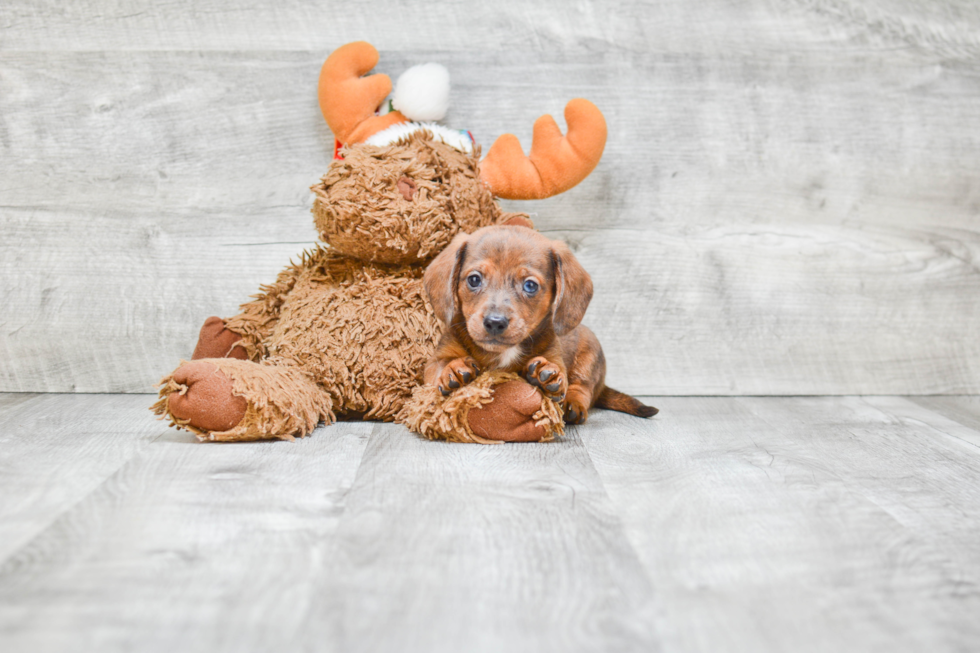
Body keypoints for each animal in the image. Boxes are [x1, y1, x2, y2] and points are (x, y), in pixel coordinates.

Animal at [424, 224, 660, 422]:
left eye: (530, 285)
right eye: (474, 279)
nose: (495, 323)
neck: (502, 354)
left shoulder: (554, 356)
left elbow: (560, 375)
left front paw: (546, 375)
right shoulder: (434, 361)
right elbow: (440, 366)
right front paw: (453, 369)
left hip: (590, 355)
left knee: (583, 388)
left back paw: (573, 405)